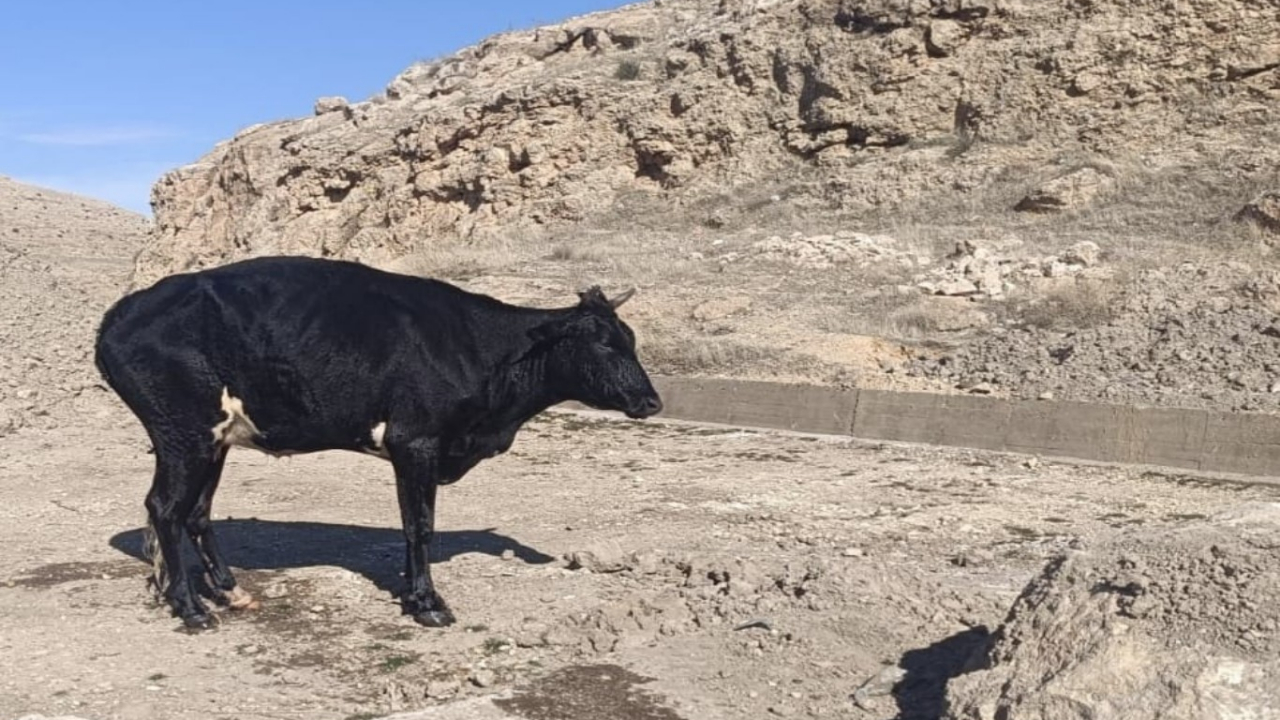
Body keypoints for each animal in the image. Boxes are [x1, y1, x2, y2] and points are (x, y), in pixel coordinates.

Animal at [92, 254, 660, 625]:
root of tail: (123, 311)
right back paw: (191, 609)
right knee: (165, 509)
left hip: (213, 440)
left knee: (195, 512)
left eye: (630, 340)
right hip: (183, 434)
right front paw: (429, 605)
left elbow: (411, 525)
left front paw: (412, 594)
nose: (652, 401)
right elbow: (420, 527)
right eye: (606, 345)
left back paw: (229, 594)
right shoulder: (417, 442)